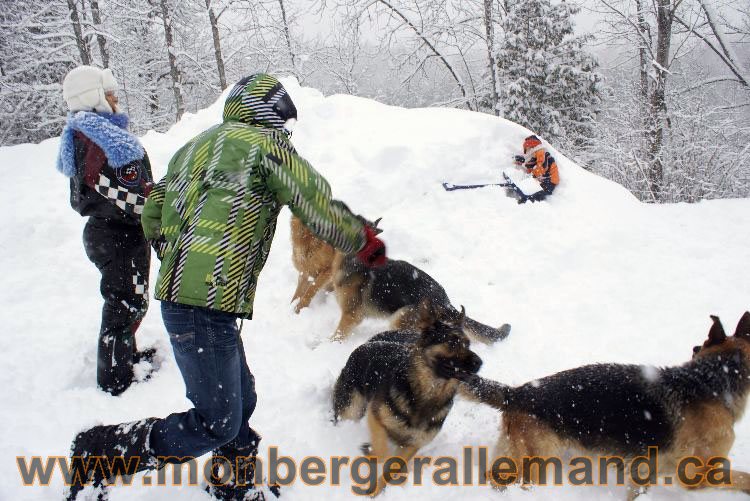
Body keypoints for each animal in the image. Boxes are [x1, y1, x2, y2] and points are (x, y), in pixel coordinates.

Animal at [290, 215, 516, 344]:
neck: (354, 257)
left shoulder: (351, 315)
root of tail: (445, 302)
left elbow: (337, 335)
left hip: (400, 317)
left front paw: (325, 345)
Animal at [334, 302, 484, 494]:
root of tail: (371, 341)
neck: (426, 393)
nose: (480, 362)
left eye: (468, 344)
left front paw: (376, 491)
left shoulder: (413, 444)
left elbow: (393, 467)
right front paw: (372, 455)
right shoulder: (376, 418)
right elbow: (382, 453)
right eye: (452, 342)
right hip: (350, 409)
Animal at [464, 312, 750, 496]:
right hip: (541, 461)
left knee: (495, 478)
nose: (693, 347)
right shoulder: (700, 475)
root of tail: (517, 393)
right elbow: (742, 476)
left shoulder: (643, 473)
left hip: (515, 454)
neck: (710, 379)